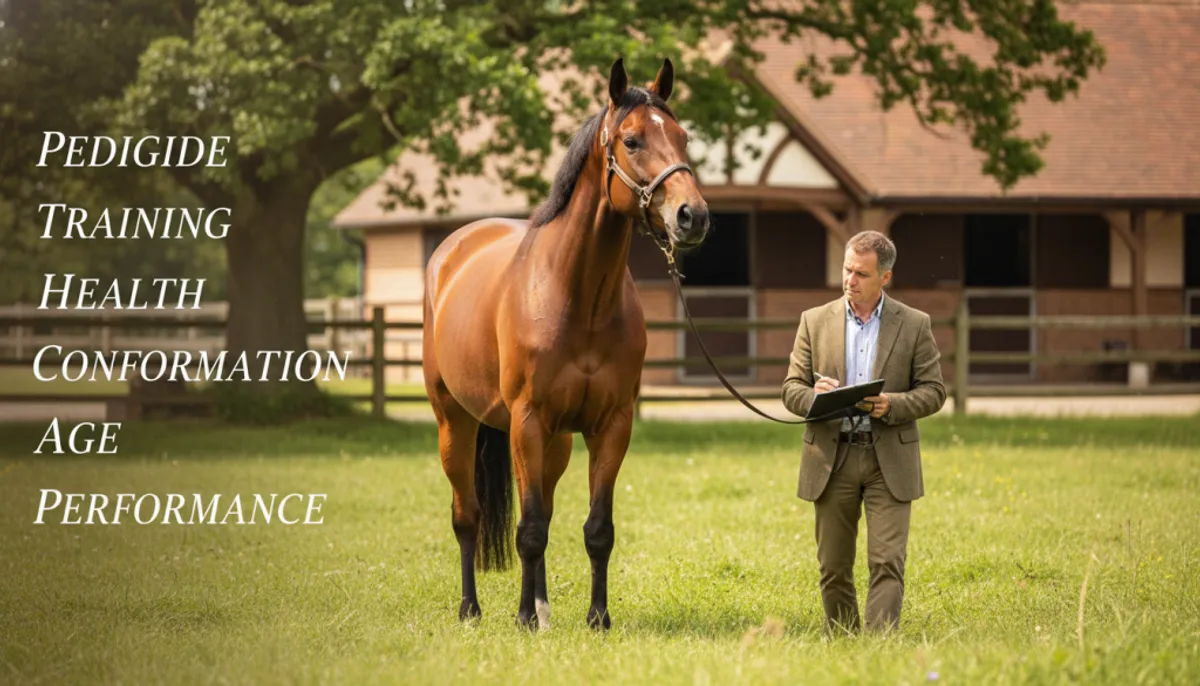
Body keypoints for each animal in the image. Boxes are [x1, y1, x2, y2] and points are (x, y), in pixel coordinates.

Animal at [421, 57, 710, 631]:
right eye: (631, 140)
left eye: (683, 137)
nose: (693, 216)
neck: (578, 297)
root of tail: (452, 249)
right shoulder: (527, 420)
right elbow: (528, 530)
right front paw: (523, 620)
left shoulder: (610, 425)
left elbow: (595, 529)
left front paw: (596, 617)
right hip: (457, 422)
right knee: (468, 518)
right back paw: (472, 609)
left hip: (551, 442)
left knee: (545, 511)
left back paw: (540, 605)